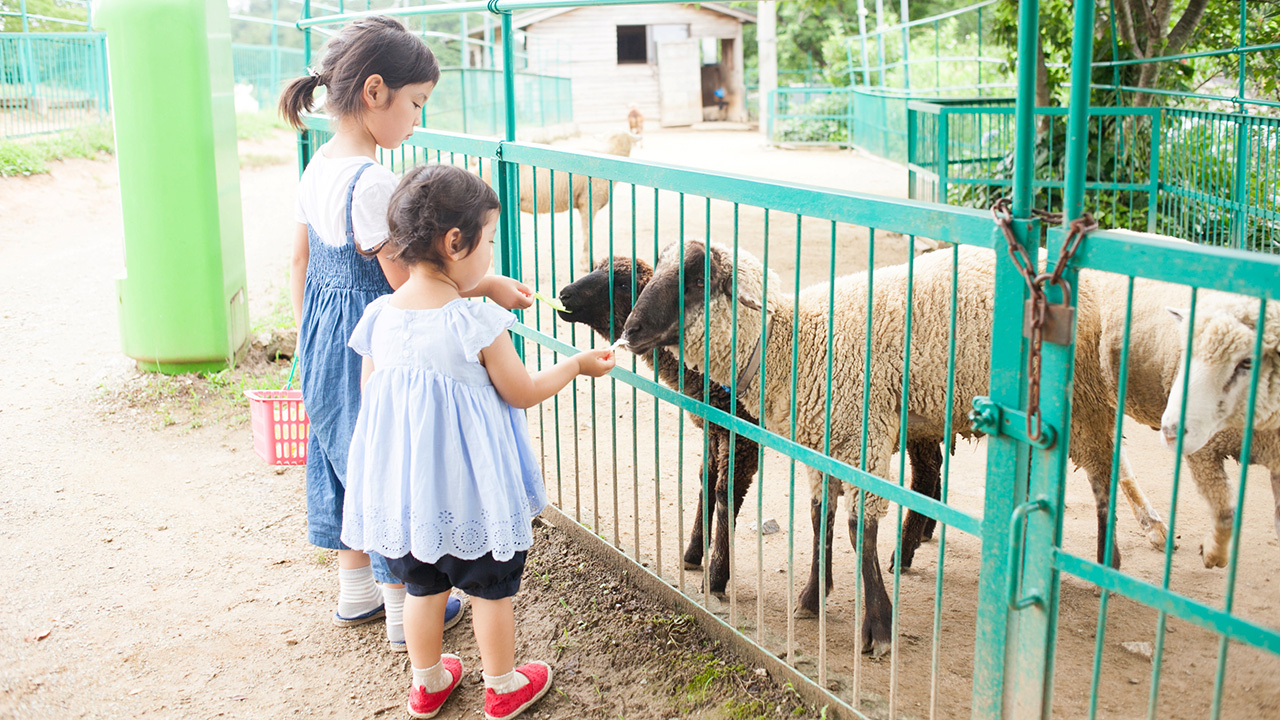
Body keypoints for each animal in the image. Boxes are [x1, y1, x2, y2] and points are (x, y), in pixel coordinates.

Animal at [555, 256, 947, 594]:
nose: (563, 294)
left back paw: (904, 553)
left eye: (622, 283)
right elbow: (706, 481)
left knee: (926, 472)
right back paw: (925, 532)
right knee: (934, 469)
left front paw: (716, 576)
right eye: (595, 266)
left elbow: (724, 492)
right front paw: (694, 552)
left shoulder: (742, 435)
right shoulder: (715, 428)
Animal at [1090, 270, 1280, 566]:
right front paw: (1214, 554)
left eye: (1248, 362)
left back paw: (1153, 526)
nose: (1171, 429)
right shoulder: (1204, 451)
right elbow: (1225, 513)